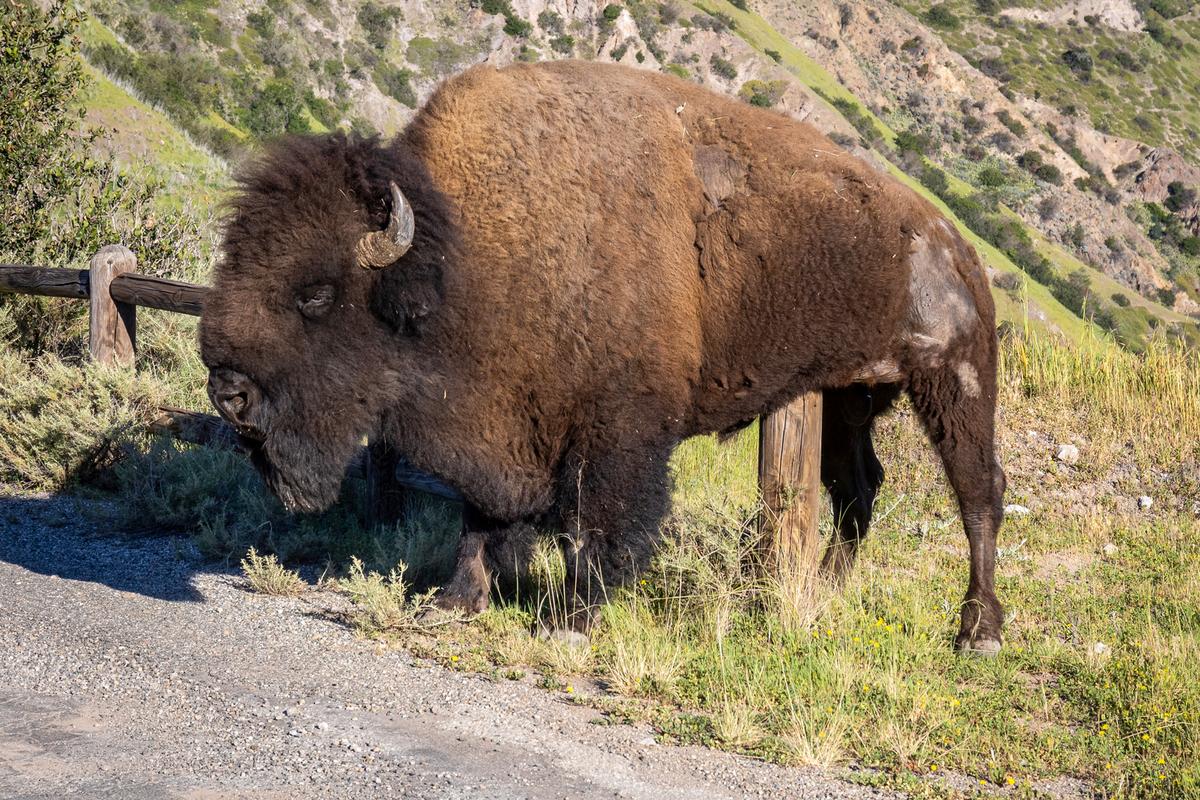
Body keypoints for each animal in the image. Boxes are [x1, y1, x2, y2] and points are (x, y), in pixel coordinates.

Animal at [200, 60, 1006, 654]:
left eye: (315, 292)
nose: (227, 391)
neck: (463, 252)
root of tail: (956, 244)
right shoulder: (499, 423)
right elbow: (481, 517)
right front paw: (455, 602)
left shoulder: (616, 430)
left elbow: (597, 523)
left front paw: (569, 624)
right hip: (849, 397)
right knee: (858, 490)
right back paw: (822, 595)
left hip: (955, 382)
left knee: (979, 494)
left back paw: (977, 632)